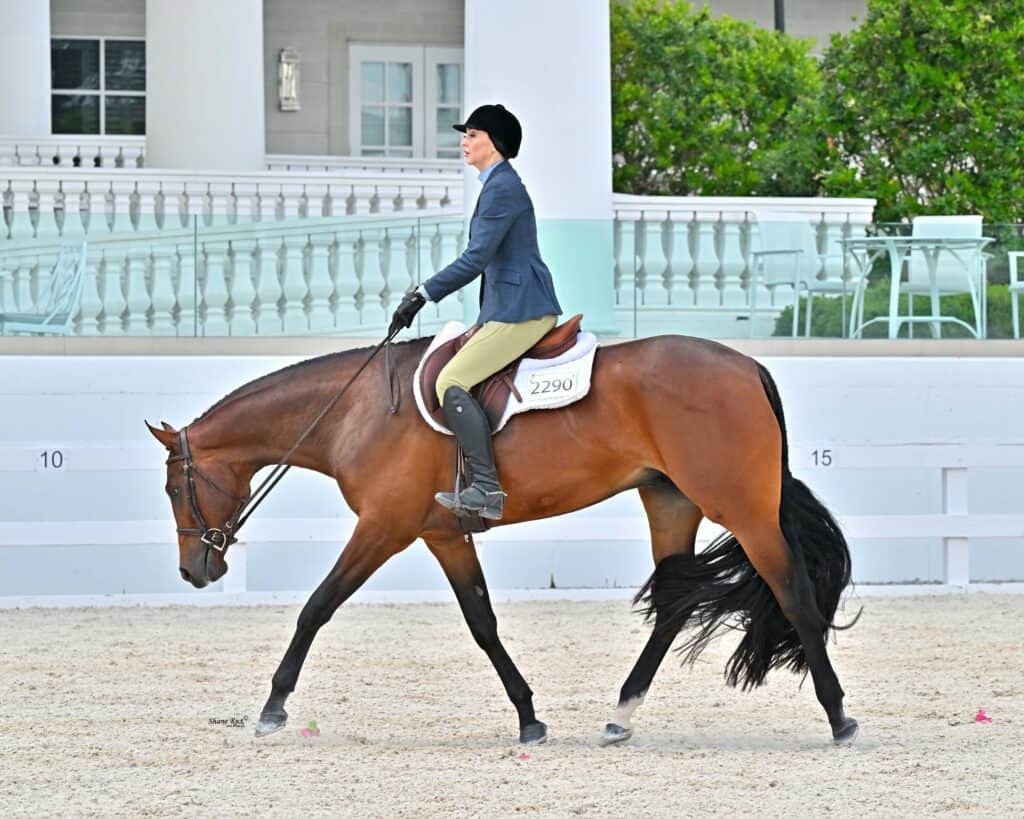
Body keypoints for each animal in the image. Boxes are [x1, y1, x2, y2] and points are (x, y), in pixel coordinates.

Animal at [147, 332, 859, 746]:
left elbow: (316, 607)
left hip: (741, 508)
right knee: (674, 604)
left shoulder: (383, 528)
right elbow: (483, 623)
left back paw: (839, 717)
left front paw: (272, 708)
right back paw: (621, 714)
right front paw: (529, 718)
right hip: (669, 499)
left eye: (175, 489)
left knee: (793, 593)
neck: (354, 412)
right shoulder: (441, 534)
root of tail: (748, 365)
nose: (193, 571)